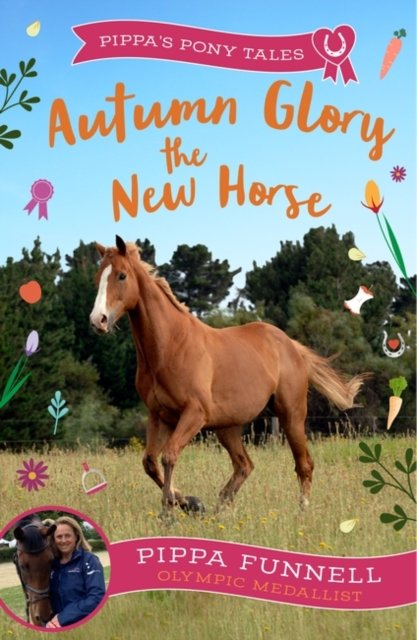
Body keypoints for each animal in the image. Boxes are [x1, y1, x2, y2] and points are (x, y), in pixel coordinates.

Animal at [90, 235, 366, 512]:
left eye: (122, 275)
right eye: (97, 277)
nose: (97, 320)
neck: (170, 346)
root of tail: (291, 345)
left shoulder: (194, 414)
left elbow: (169, 456)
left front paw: (173, 506)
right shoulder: (159, 416)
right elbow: (149, 462)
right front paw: (186, 501)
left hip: (291, 416)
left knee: (303, 464)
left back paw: (302, 510)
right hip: (228, 427)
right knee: (244, 465)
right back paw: (219, 508)